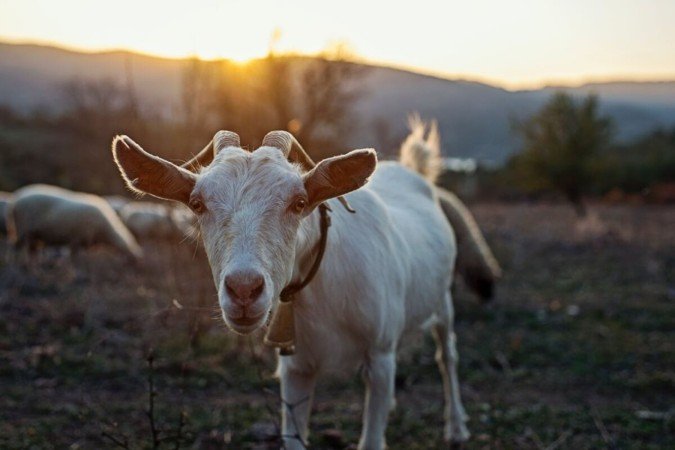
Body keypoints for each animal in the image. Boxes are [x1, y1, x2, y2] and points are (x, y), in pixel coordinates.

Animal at [6, 184, 143, 260]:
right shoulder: (78, 239)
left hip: (33, 234)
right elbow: (75, 256)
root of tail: (15, 202)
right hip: (24, 229)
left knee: (31, 251)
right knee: (16, 248)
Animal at [111, 129, 470, 449]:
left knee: (447, 354)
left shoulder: (380, 354)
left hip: (443, 301)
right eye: (197, 204)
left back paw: (456, 428)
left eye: (299, 202)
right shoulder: (295, 367)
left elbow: (371, 438)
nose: (244, 289)